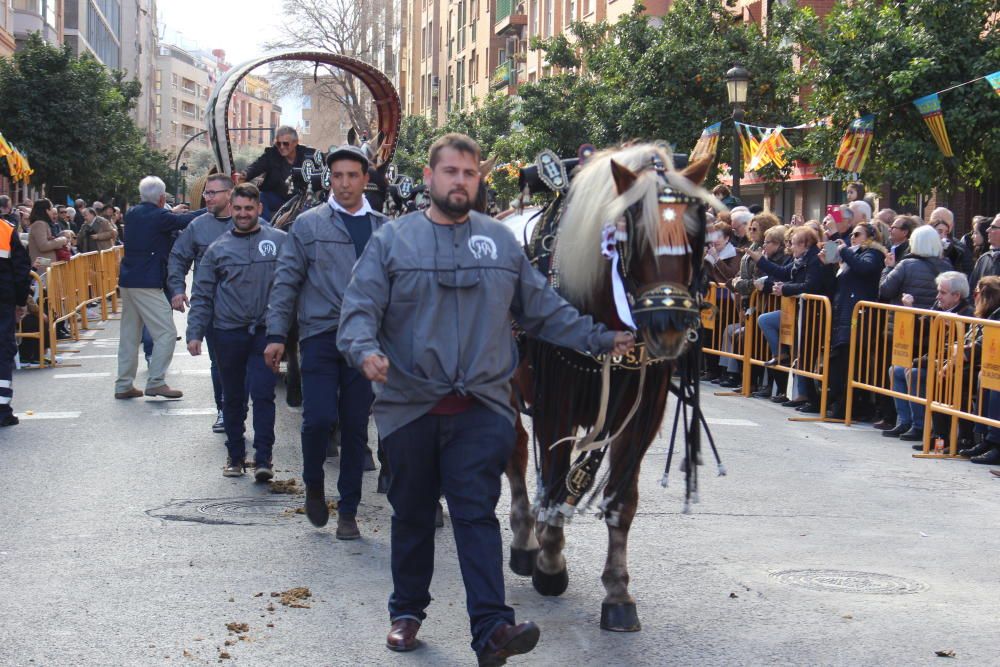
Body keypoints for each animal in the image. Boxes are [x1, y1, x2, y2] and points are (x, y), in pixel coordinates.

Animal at [508, 144, 720, 636]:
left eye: (696, 235)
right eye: (633, 235)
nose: (668, 327)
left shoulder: (641, 412)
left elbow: (620, 500)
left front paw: (618, 592)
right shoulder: (557, 402)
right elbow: (553, 475)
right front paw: (550, 561)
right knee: (514, 453)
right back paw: (525, 540)